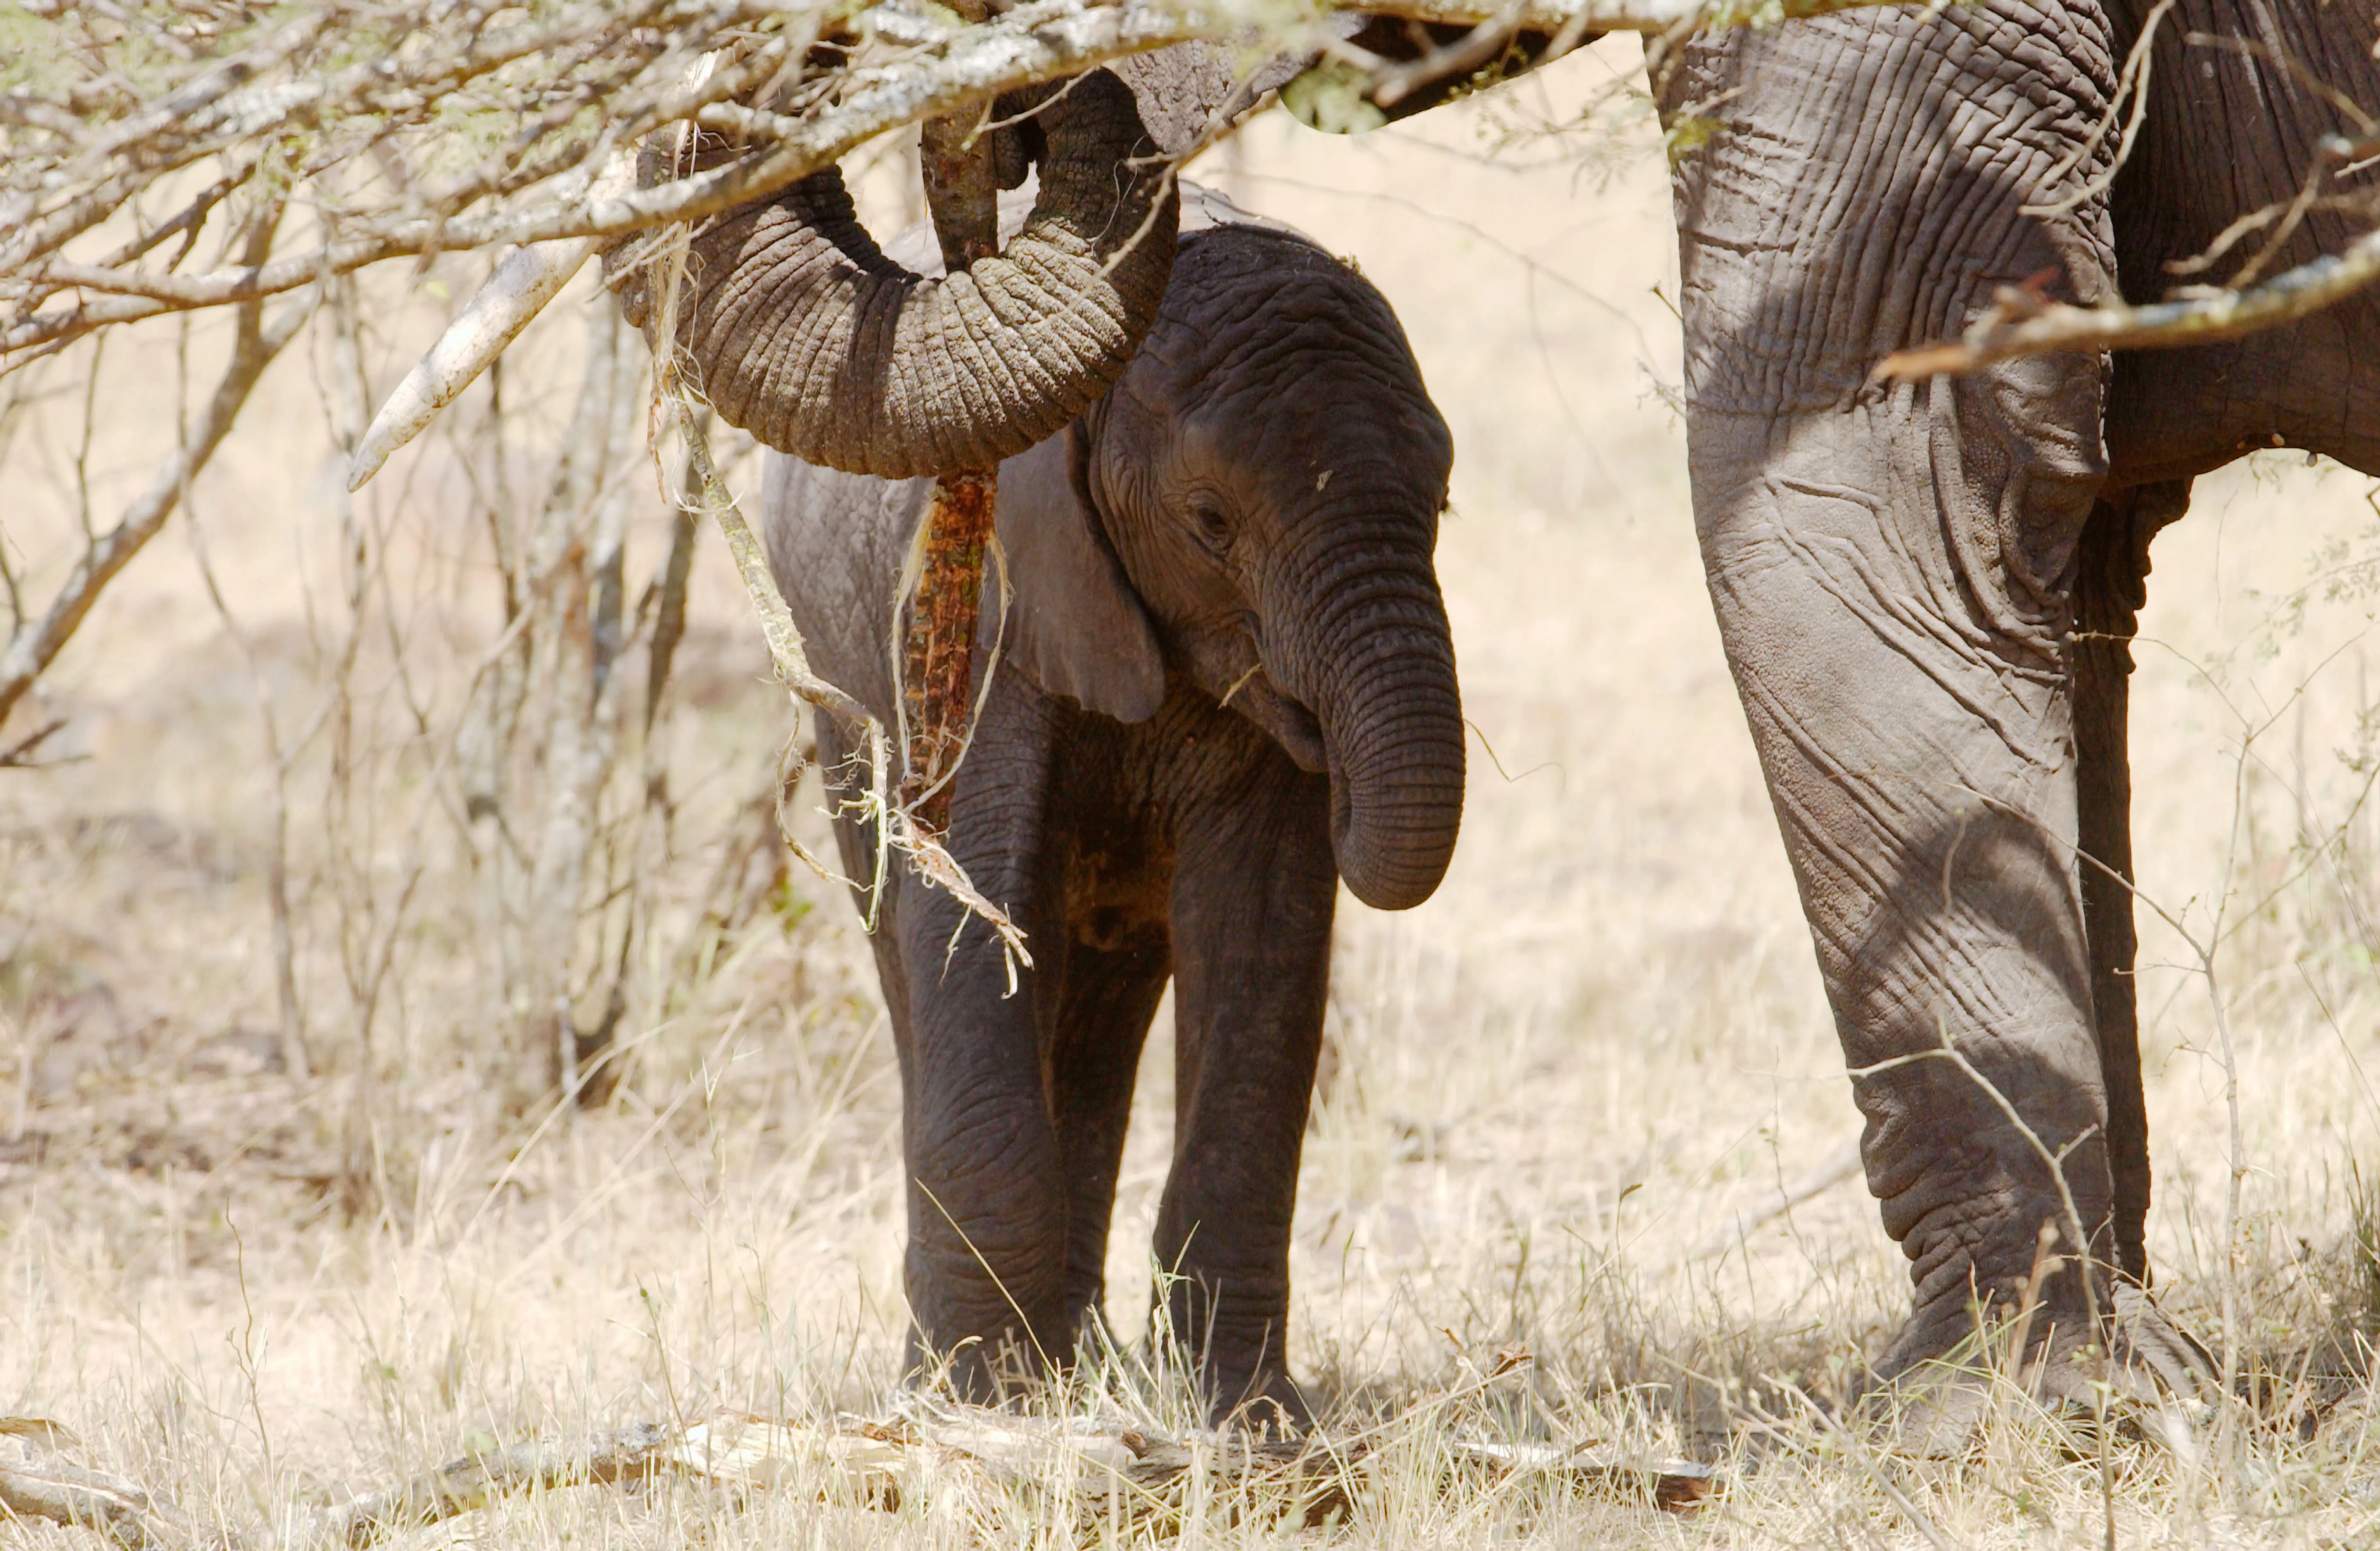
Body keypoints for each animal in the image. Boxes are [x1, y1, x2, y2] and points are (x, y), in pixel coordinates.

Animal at [750, 193, 1462, 1420]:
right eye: (1210, 520)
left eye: (1444, 498)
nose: (1326, 736)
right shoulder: (981, 617)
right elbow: (973, 903)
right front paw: (979, 1402)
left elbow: (1265, 927)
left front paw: (1246, 1413)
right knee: (910, 955)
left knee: (1100, 1004)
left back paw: (1079, 1359)